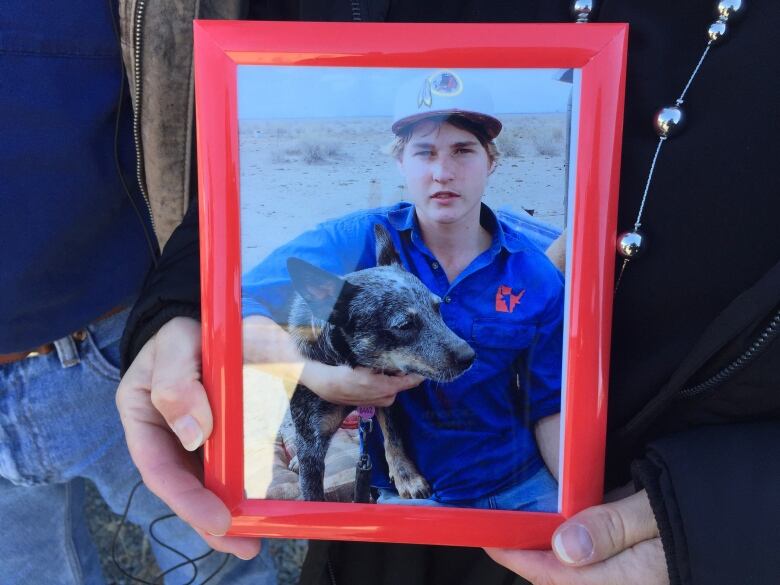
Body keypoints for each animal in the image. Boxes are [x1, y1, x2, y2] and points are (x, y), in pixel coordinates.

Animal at [286, 225, 476, 502]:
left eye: (437, 308)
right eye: (405, 325)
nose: (469, 356)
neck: (350, 362)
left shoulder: (388, 394)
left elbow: (393, 434)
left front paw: (406, 475)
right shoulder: (312, 445)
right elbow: (311, 489)